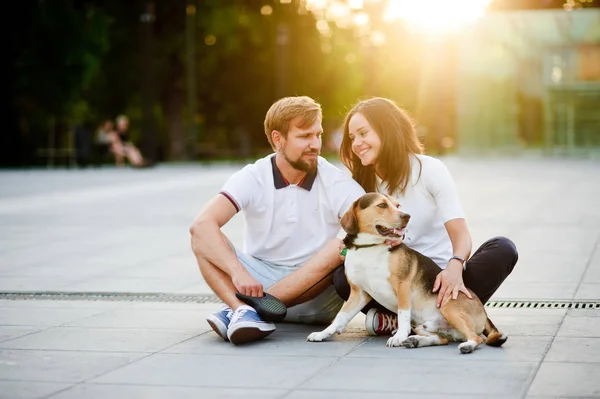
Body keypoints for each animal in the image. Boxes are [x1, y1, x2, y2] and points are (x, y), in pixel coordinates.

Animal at [310, 193, 506, 354]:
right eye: (382, 205)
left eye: (398, 205)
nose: (407, 216)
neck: (370, 247)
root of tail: (484, 312)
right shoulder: (358, 294)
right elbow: (340, 317)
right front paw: (323, 333)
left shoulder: (402, 286)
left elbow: (403, 315)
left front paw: (398, 336)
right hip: (423, 326)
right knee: (442, 339)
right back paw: (416, 341)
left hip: (448, 307)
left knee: (476, 338)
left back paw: (466, 346)